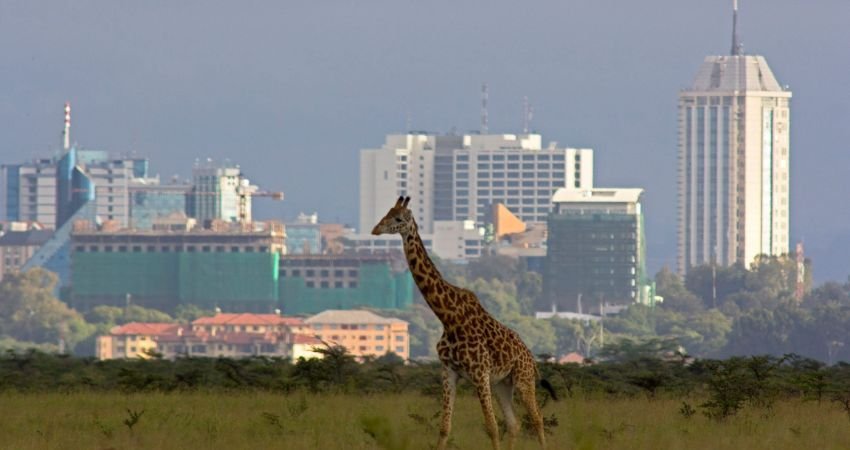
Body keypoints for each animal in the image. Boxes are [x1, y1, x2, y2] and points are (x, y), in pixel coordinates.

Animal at [370, 196, 552, 450]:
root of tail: (530, 356)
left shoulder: (480, 374)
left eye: (398, 218)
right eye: (386, 213)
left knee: (537, 419)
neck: (448, 318)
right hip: (503, 384)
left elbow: (492, 427)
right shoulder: (449, 372)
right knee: (514, 423)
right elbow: (445, 427)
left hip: (523, 380)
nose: (375, 230)